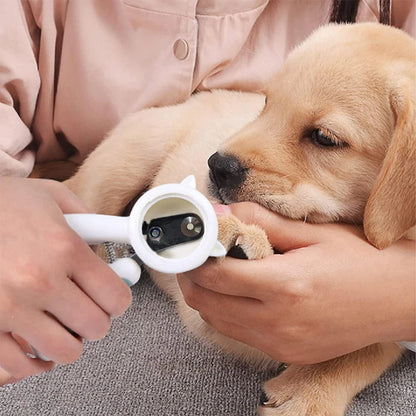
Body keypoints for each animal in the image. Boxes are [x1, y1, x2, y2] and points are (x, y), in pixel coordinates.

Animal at [65, 23, 416, 416]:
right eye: (266, 104)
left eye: (324, 138)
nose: (217, 165)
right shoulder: (205, 314)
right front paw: (234, 234)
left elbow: (365, 350)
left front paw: (308, 393)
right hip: (124, 163)